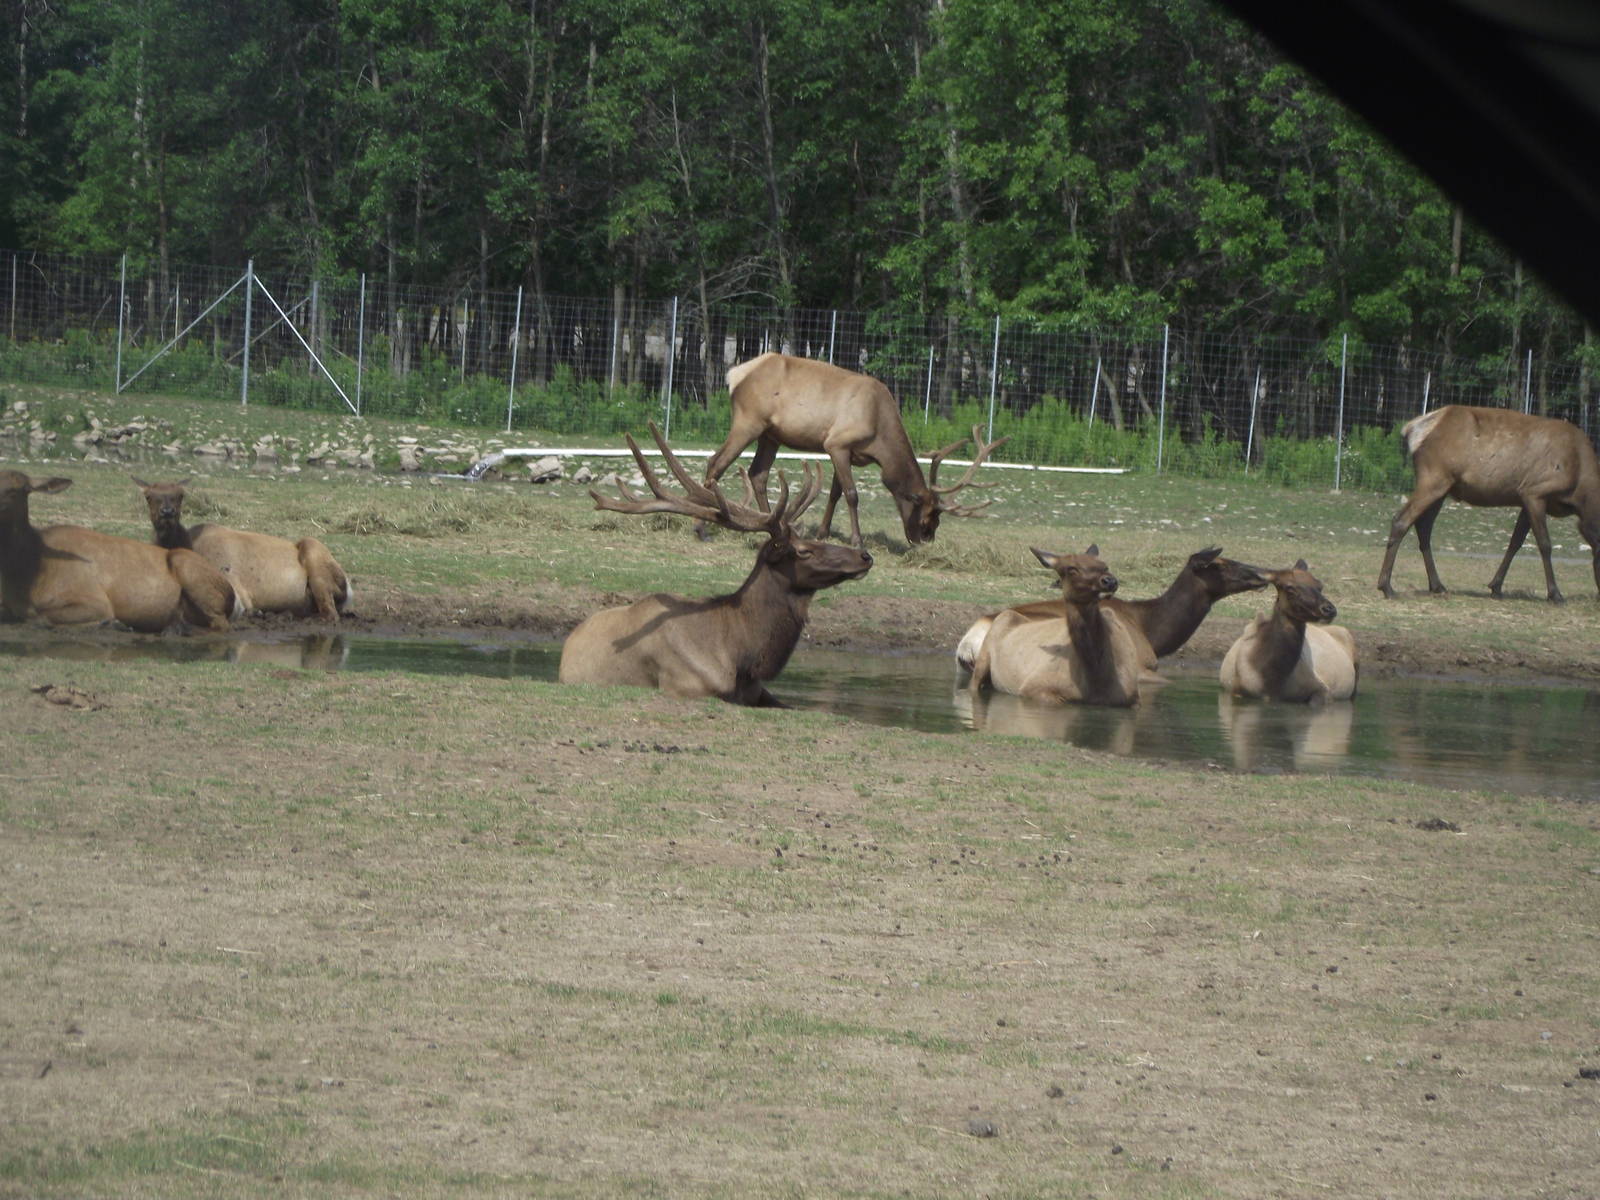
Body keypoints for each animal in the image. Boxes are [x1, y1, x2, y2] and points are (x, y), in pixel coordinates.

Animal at [0, 469, 241, 632]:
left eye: (19, 490)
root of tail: (230, 592)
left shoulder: (95, 601)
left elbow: (40, 617)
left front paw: (112, 623)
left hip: (186, 565)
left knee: (221, 624)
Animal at [134, 478, 353, 621]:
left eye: (180, 495)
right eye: (148, 496)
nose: (167, 513)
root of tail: (348, 585)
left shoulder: (236, 589)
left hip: (315, 556)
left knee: (330, 613)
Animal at [700, 353, 1009, 549]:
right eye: (927, 515)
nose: (925, 540)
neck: (879, 434)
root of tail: (735, 375)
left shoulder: (848, 453)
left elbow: (835, 493)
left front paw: (823, 533)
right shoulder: (836, 443)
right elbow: (851, 494)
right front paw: (857, 540)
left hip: (770, 435)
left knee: (758, 474)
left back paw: (772, 527)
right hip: (748, 422)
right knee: (716, 462)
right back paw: (704, 526)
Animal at [967, 545, 1142, 707]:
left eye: (1104, 565)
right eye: (1071, 569)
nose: (1109, 581)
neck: (1097, 681)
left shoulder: (1132, 697)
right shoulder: (1033, 688)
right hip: (981, 662)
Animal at [1376, 405, 1600, 603]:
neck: (1580, 493)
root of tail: (1411, 429)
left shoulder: (1524, 497)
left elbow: (1515, 542)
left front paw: (1496, 587)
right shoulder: (1535, 492)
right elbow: (1545, 544)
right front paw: (1555, 594)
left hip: (1443, 487)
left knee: (1423, 527)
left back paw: (1437, 585)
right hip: (1433, 478)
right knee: (1401, 520)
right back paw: (1387, 587)